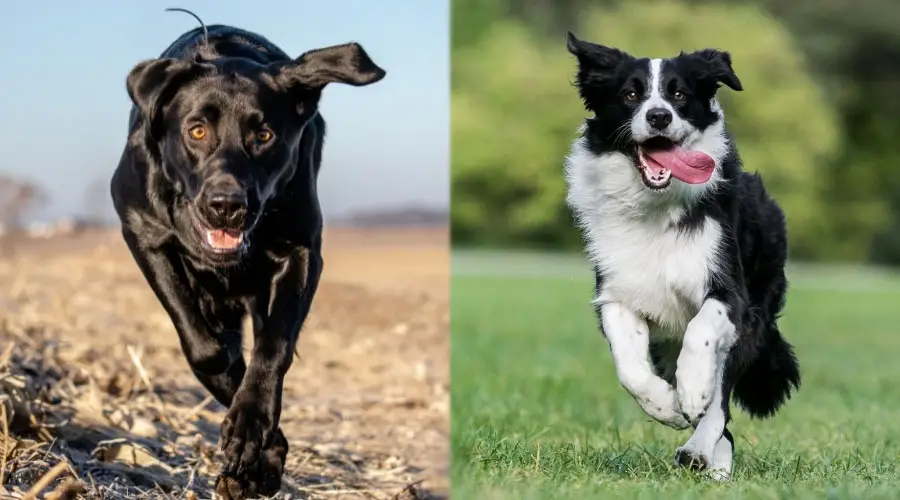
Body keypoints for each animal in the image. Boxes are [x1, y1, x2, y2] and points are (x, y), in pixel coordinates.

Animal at [109, 17, 384, 498]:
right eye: (197, 130)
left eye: (264, 135)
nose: (227, 206)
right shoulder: (142, 232)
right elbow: (206, 350)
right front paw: (257, 441)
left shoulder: (302, 253)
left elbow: (273, 347)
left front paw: (252, 427)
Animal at [564, 33, 800, 478]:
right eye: (630, 94)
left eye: (679, 94)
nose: (658, 117)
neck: (656, 208)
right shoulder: (617, 294)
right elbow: (629, 368)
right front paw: (666, 406)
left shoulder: (730, 293)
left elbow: (702, 334)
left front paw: (690, 392)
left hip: (754, 319)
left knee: (721, 402)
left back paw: (701, 451)